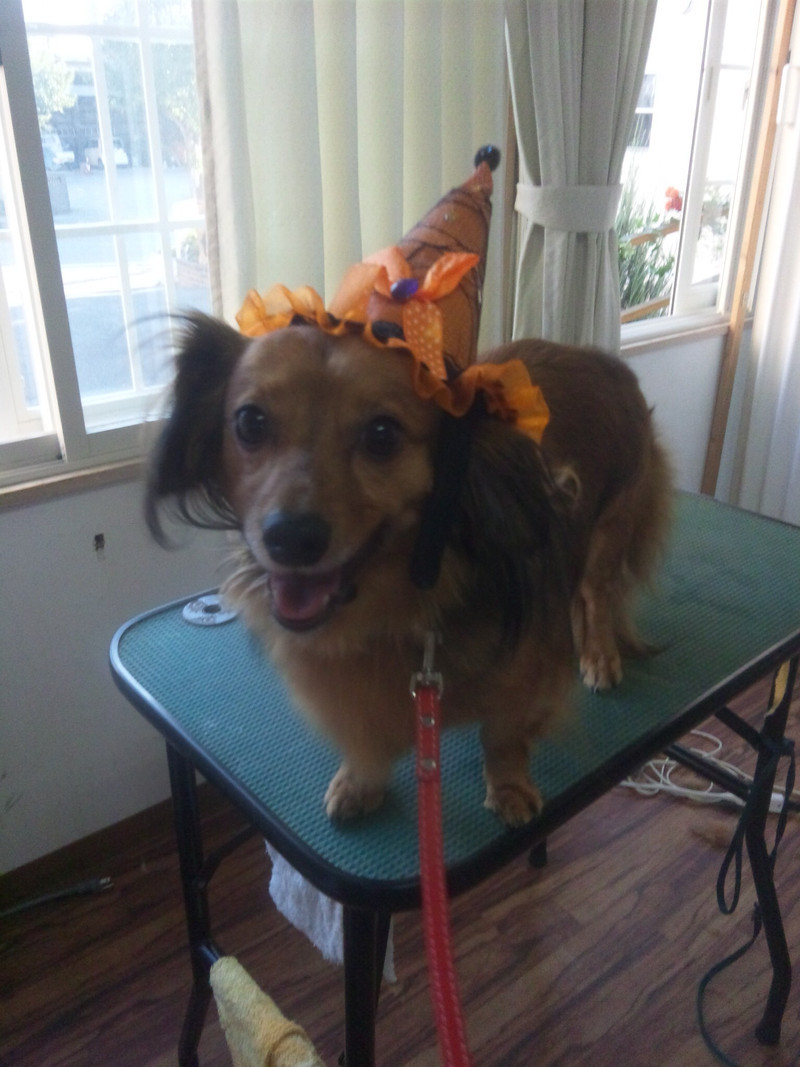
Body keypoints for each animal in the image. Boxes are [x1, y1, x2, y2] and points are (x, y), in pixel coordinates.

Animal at [146, 314, 672, 826]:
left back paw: (599, 654)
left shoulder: (522, 677)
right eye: (250, 422)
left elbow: (502, 736)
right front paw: (362, 781)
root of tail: (601, 358)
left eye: (382, 435)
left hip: (612, 525)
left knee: (596, 594)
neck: (409, 601)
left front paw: (508, 787)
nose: (291, 538)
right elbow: (366, 739)